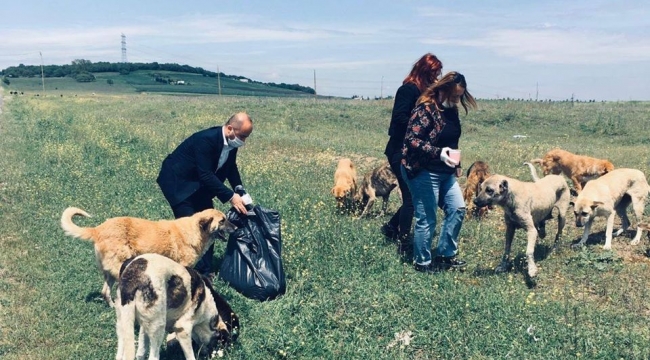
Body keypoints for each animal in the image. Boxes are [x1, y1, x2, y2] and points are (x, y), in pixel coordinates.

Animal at [60, 207, 235, 306]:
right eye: (222, 221)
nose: (236, 227)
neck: (195, 231)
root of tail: (97, 229)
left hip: (110, 273)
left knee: (105, 292)